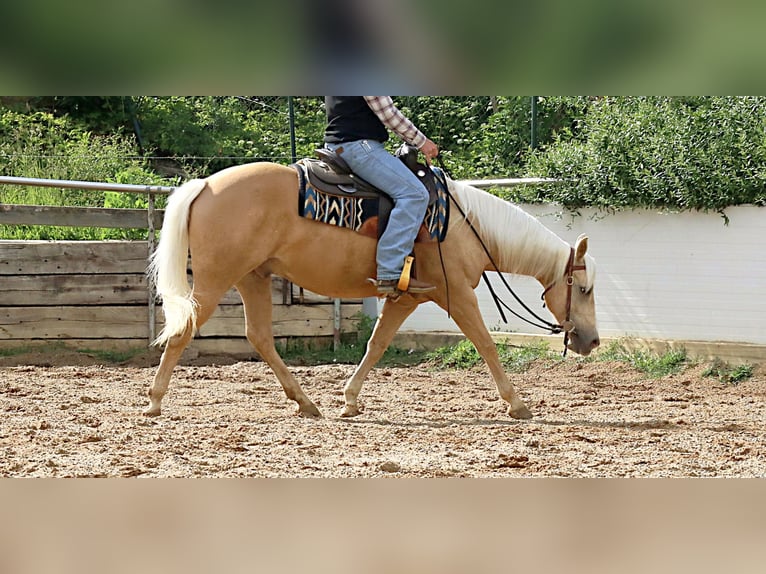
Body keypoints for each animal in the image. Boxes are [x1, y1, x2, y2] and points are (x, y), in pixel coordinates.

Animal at [145, 161, 599, 420]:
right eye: (585, 289)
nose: (592, 341)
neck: (463, 225)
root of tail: (204, 184)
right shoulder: (457, 295)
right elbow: (485, 344)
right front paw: (517, 404)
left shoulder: (408, 297)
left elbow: (376, 345)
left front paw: (349, 401)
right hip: (218, 279)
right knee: (184, 331)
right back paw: (154, 401)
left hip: (252, 277)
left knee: (259, 337)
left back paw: (306, 403)